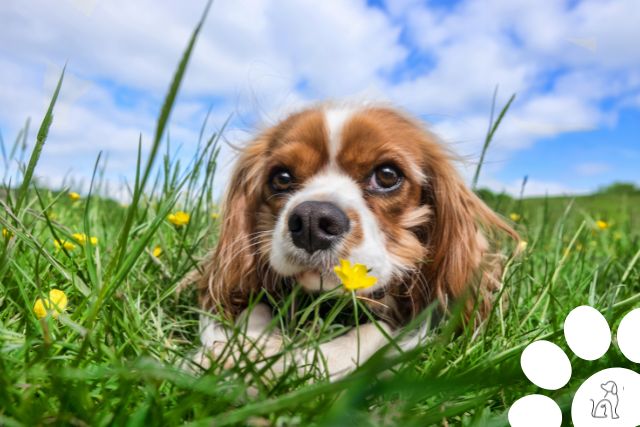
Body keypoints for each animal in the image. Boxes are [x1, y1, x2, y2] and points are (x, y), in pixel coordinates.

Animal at [189, 104, 516, 382]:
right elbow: (251, 308)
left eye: (387, 175)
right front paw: (239, 350)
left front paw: (288, 363)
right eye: (281, 177)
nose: (311, 220)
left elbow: (374, 331)